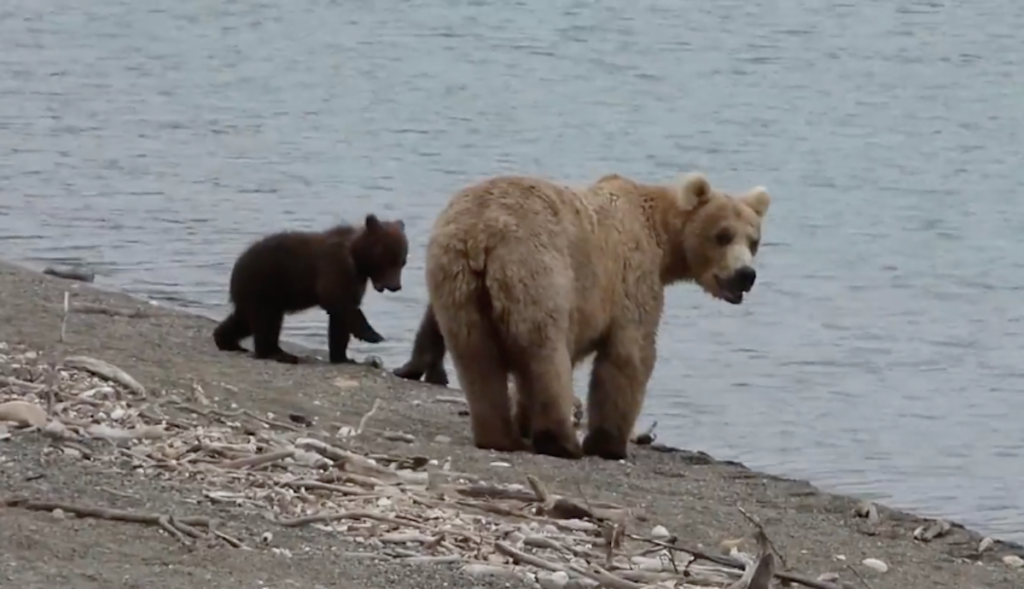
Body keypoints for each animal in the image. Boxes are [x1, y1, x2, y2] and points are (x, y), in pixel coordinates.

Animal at [212, 214, 409, 365]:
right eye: (389, 260)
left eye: (402, 261)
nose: (396, 286)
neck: (357, 260)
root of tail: (237, 264)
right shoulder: (335, 269)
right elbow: (341, 304)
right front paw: (373, 335)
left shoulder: (355, 281)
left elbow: (340, 320)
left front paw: (343, 357)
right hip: (265, 284)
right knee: (267, 321)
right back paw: (278, 353)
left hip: (256, 292)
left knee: (245, 319)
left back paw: (227, 341)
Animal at [411, 171, 771, 461]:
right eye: (723, 235)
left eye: (754, 240)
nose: (745, 275)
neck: (662, 241)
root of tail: (482, 233)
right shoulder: (630, 278)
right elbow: (630, 355)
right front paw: (609, 445)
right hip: (539, 269)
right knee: (545, 353)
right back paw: (562, 442)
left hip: (455, 281)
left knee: (476, 356)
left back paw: (500, 436)